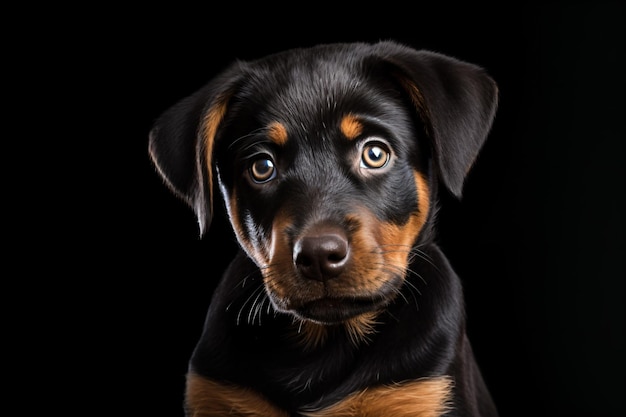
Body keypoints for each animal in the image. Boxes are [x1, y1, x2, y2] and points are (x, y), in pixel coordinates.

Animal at [147, 39, 498, 416]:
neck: (325, 341)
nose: (318, 256)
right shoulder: (218, 395)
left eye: (375, 153)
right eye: (262, 167)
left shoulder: (423, 392)